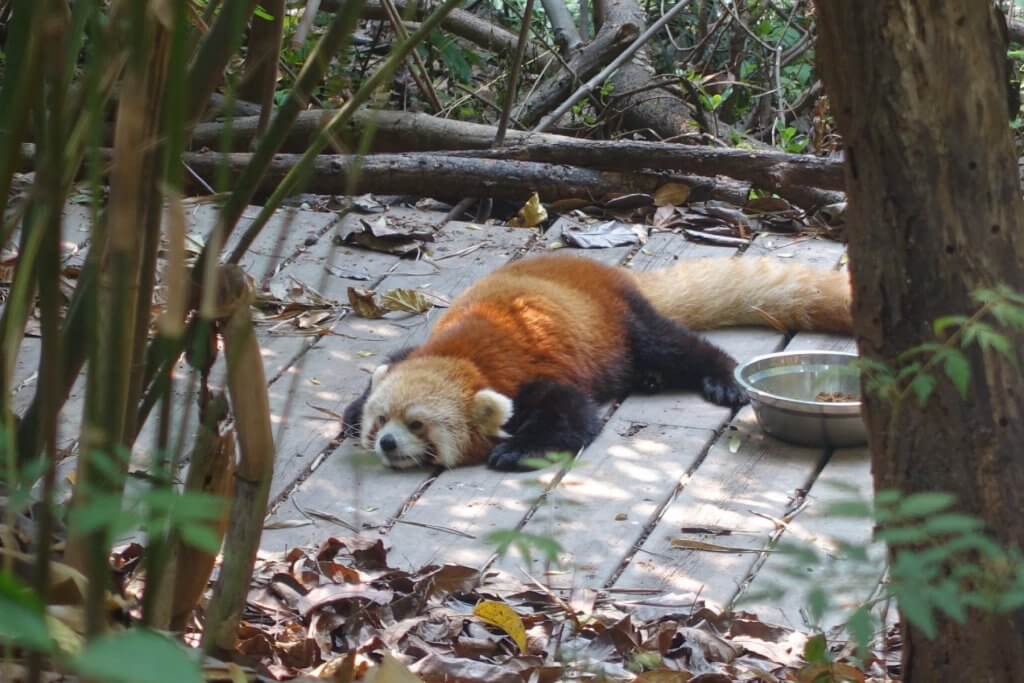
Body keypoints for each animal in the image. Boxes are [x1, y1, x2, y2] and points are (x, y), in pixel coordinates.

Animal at [344, 253, 847, 473]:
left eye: (418, 425)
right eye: (382, 420)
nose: (386, 443)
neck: (462, 355)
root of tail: (607, 269)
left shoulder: (524, 374)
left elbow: (570, 416)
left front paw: (516, 450)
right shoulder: (423, 348)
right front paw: (350, 413)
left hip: (623, 322)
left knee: (673, 344)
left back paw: (720, 377)